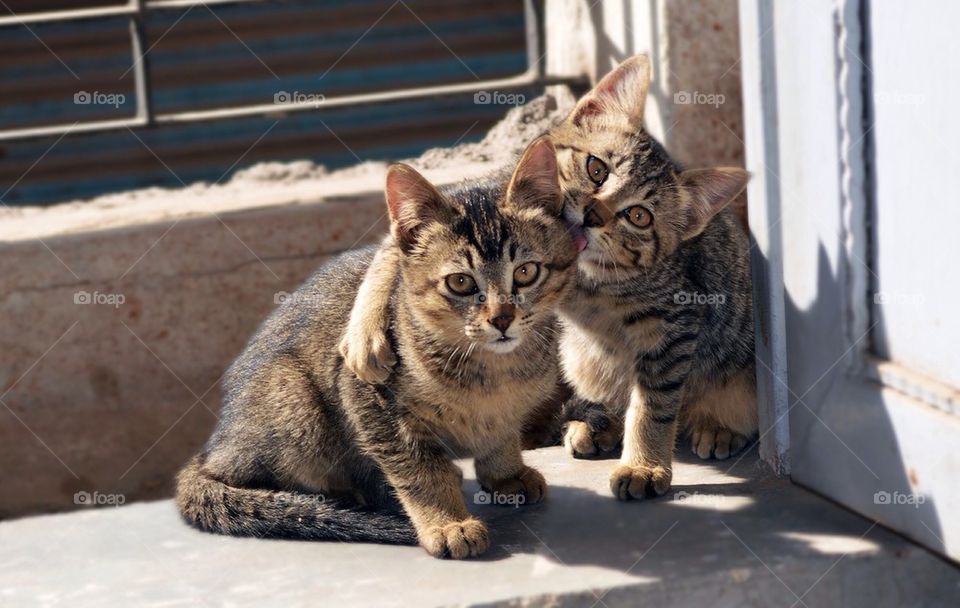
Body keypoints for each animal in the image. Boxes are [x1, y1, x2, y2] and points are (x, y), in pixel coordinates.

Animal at [174, 135, 576, 560]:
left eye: (526, 272)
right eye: (461, 282)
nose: (502, 319)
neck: (494, 373)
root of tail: (213, 450)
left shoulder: (505, 411)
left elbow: (500, 436)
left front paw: (506, 473)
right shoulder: (366, 393)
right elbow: (418, 470)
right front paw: (447, 522)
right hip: (296, 403)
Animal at [342, 54, 760, 504]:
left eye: (638, 215)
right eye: (597, 168)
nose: (593, 214)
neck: (581, 279)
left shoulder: (673, 325)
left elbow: (654, 405)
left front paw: (643, 465)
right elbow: (393, 249)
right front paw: (364, 332)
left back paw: (715, 428)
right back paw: (596, 425)